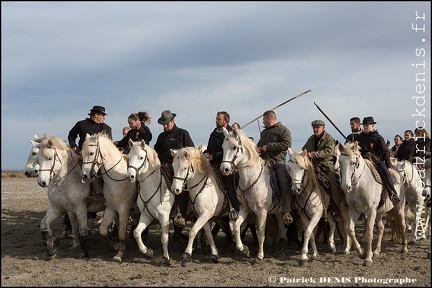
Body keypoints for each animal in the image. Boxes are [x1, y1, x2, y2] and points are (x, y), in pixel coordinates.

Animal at [80, 132, 136, 262]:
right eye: (81, 154)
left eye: (91, 153)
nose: (85, 176)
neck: (117, 177)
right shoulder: (111, 209)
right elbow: (103, 230)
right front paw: (116, 245)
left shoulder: (124, 210)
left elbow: (121, 232)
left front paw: (119, 254)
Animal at [125, 138, 176, 266]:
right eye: (128, 157)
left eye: (141, 157)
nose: (130, 176)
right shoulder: (146, 215)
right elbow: (137, 232)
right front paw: (147, 251)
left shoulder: (164, 217)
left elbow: (164, 238)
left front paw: (165, 258)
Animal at [219, 127, 286, 264]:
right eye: (223, 147)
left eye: (234, 147)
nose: (224, 169)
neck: (250, 179)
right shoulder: (245, 208)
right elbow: (236, 226)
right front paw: (243, 248)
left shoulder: (262, 211)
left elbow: (260, 232)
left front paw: (260, 256)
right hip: (277, 210)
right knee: (281, 226)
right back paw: (280, 248)